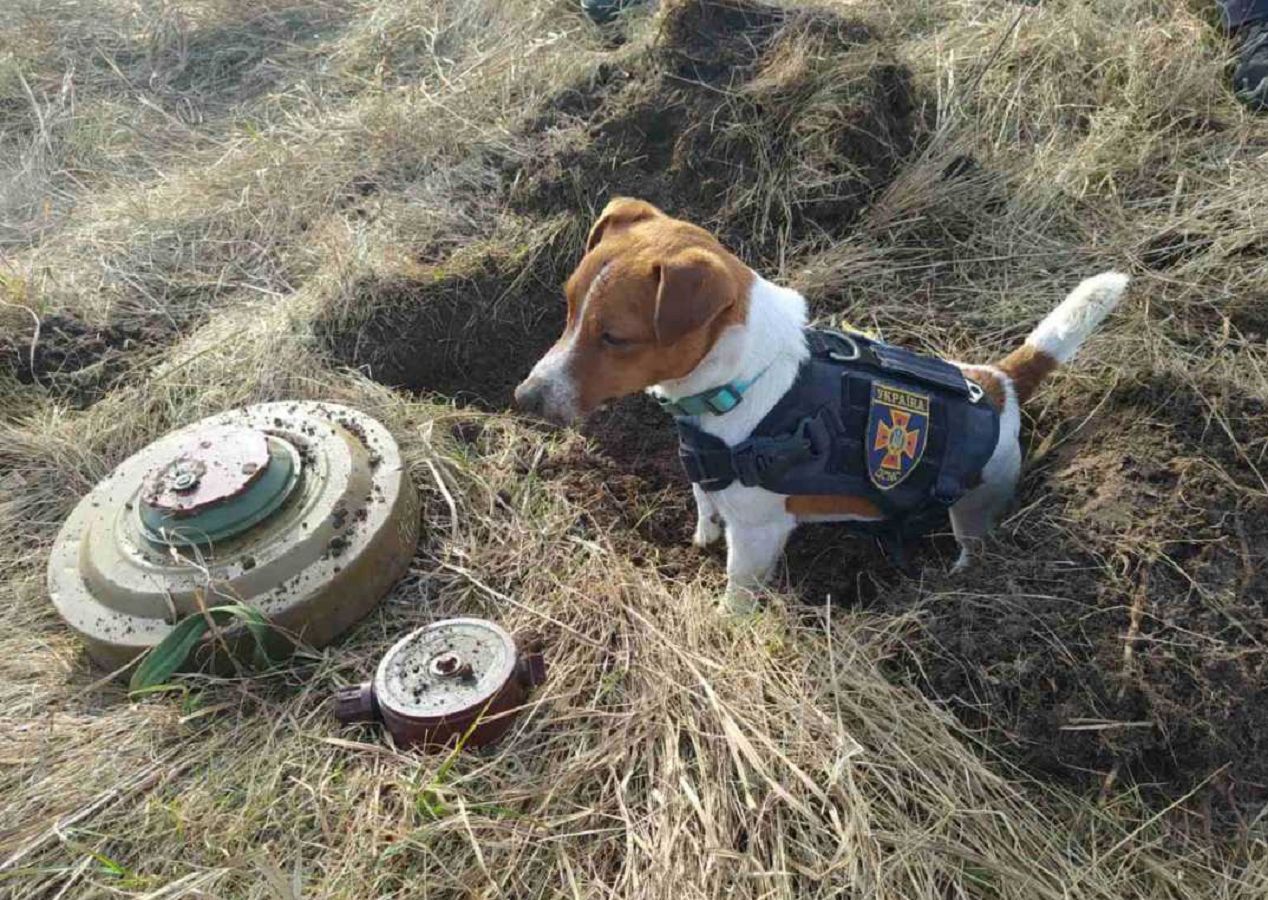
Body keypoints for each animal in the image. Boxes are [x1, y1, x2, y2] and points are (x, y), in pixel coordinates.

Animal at [514, 195, 1131, 605]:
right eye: (568, 306)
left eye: (615, 338)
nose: (524, 397)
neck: (743, 379)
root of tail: (999, 381)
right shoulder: (706, 475)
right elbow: (704, 505)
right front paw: (700, 538)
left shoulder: (758, 534)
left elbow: (738, 590)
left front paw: (726, 620)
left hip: (978, 504)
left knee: (973, 542)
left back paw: (959, 578)